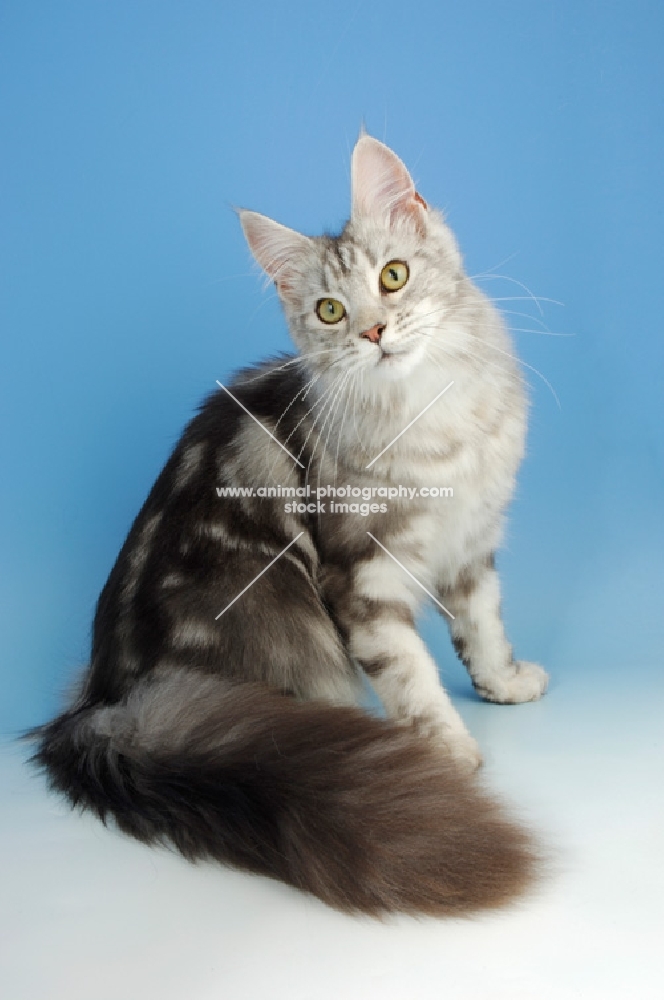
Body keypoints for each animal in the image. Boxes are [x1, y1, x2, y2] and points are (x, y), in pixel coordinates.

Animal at [29, 137, 548, 916]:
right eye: (330, 312)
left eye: (393, 276)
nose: (375, 331)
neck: (432, 417)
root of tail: (106, 704)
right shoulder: (361, 575)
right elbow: (414, 677)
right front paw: (448, 753)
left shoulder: (471, 545)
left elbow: (482, 632)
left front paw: (505, 685)